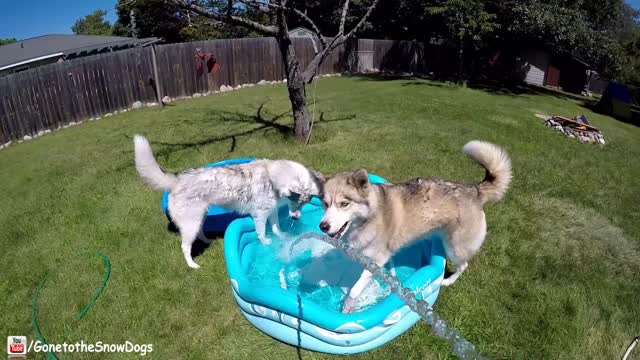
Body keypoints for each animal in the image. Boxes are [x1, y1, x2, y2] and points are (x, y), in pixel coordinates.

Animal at [134, 136, 324, 270]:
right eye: (297, 201)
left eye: (304, 204)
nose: (296, 218)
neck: (272, 178)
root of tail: (176, 181)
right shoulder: (260, 214)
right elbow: (262, 232)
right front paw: (265, 243)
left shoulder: (272, 210)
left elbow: (276, 228)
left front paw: (283, 236)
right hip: (190, 224)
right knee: (185, 246)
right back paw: (192, 265)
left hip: (199, 217)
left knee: (200, 233)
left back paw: (209, 242)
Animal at [318, 141, 512, 312]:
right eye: (325, 204)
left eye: (344, 204)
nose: (323, 226)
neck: (368, 219)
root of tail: (475, 190)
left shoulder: (378, 259)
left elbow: (356, 288)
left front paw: (348, 305)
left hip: (455, 247)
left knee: (463, 265)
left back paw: (448, 281)